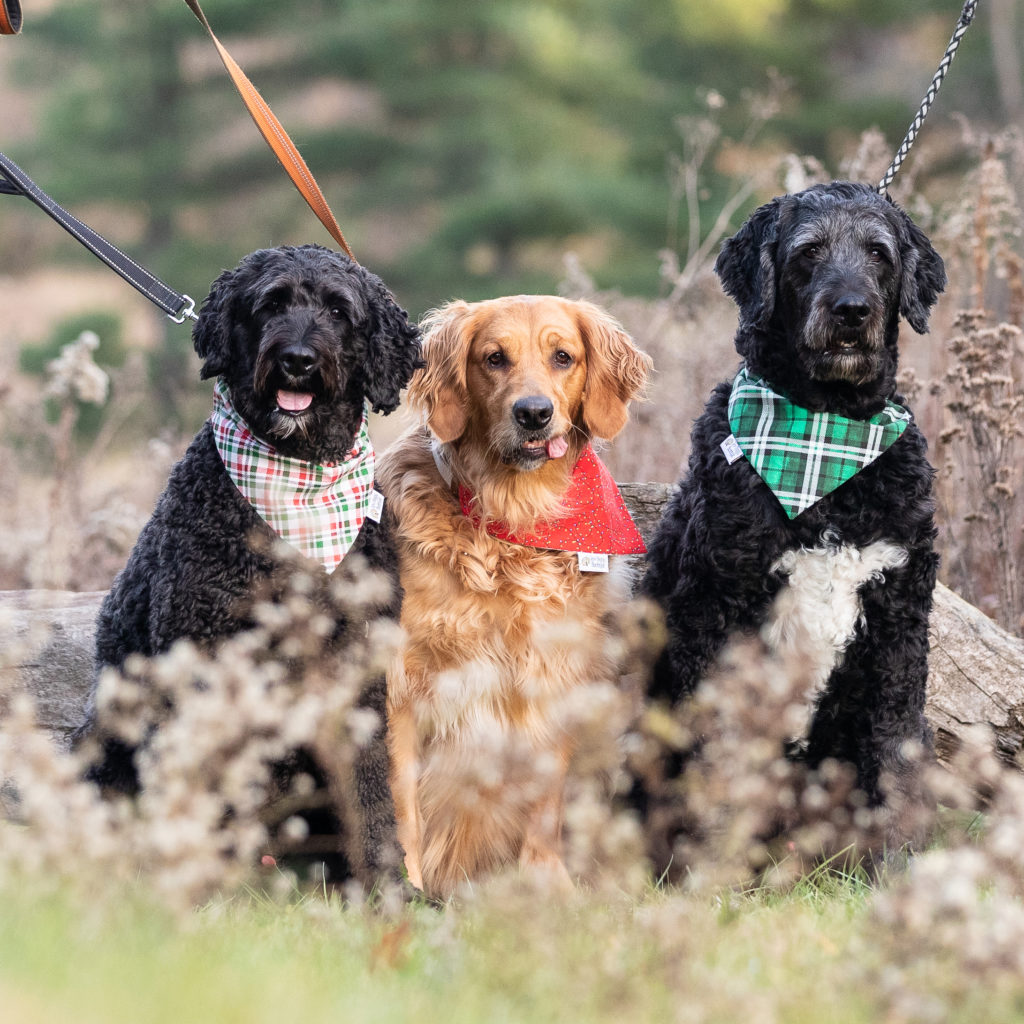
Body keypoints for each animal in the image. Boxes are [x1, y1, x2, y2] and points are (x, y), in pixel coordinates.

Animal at [74, 243, 419, 884]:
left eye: (339, 311)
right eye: (270, 304)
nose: (297, 361)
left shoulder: (353, 671)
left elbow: (367, 789)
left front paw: (389, 889)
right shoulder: (201, 652)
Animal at [643, 182, 946, 856]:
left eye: (879, 252)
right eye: (809, 251)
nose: (852, 311)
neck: (825, 428)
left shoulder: (899, 618)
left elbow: (895, 755)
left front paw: (900, 863)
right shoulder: (717, 610)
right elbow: (720, 756)